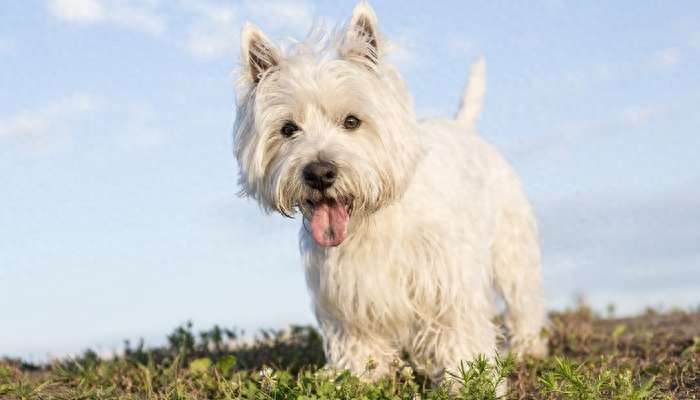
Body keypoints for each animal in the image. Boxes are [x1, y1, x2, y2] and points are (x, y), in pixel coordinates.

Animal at [232, 0, 548, 382]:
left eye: (352, 121)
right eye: (288, 128)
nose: (320, 173)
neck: (371, 221)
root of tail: (463, 127)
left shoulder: (448, 287)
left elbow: (462, 341)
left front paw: (471, 383)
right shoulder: (348, 302)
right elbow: (361, 352)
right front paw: (360, 382)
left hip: (512, 249)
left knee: (524, 301)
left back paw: (528, 349)